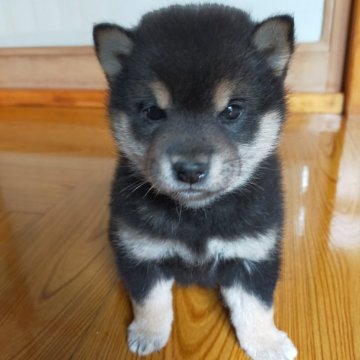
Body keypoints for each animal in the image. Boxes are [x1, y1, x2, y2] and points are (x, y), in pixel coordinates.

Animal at [94, 4, 296, 358]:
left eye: (232, 110)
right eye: (152, 112)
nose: (189, 170)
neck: (197, 217)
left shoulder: (253, 254)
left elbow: (256, 307)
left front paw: (266, 342)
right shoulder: (141, 253)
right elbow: (150, 302)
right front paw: (148, 333)